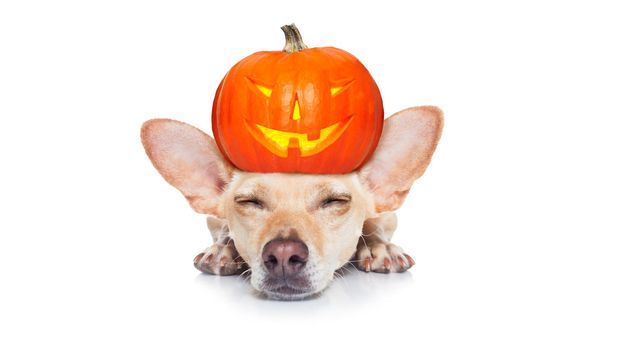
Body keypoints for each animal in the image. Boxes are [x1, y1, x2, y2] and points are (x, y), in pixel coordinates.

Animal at [141, 105, 444, 300]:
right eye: (249, 202)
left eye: (335, 201)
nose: (284, 254)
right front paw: (224, 249)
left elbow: (371, 226)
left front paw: (380, 247)